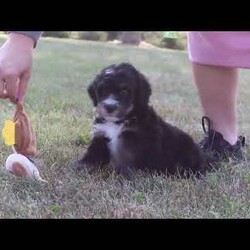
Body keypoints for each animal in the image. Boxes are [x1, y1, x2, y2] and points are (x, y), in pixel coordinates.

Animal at [74, 63, 209, 179]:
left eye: (124, 91)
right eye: (102, 90)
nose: (109, 107)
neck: (118, 122)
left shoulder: (137, 139)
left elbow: (130, 159)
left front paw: (128, 175)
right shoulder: (101, 136)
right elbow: (93, 155)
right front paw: (81, 167)